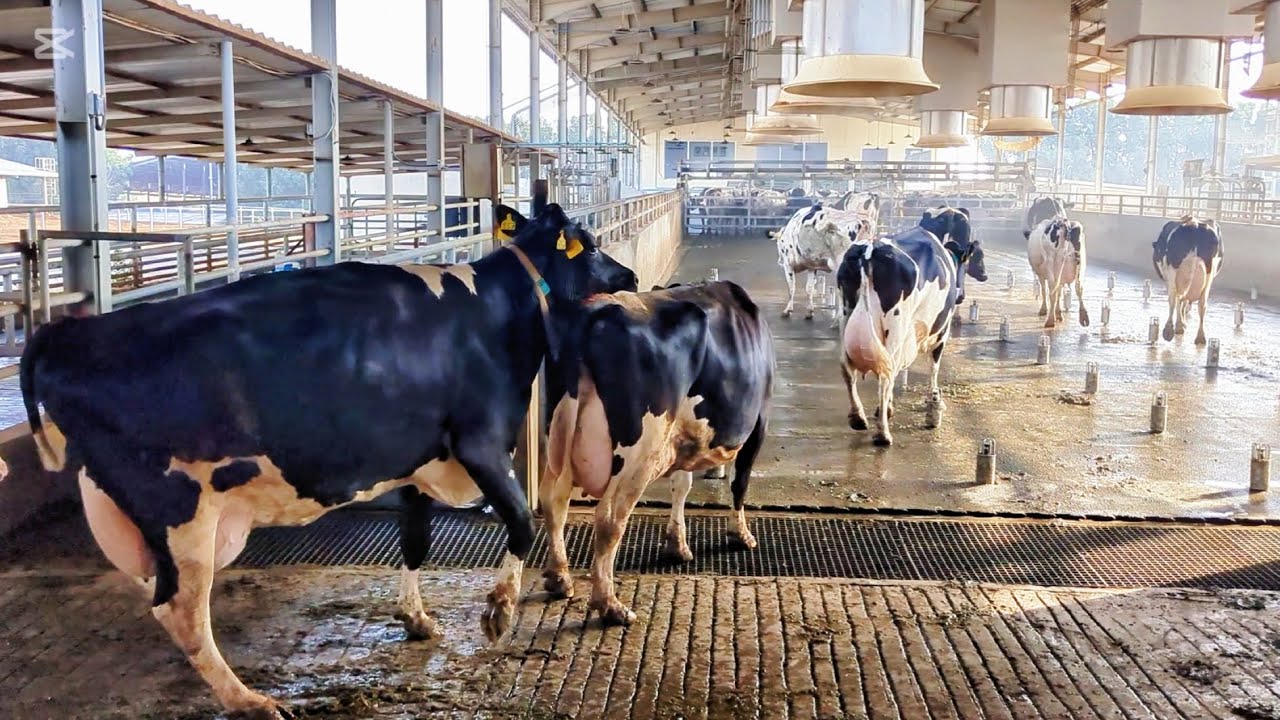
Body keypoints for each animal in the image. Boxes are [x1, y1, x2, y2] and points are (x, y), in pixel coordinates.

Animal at [19, 198, 638, 719]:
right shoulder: (480, 441)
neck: (497, 312)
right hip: (178, 508)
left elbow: (415, 541)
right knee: (182, 612)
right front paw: (499, 610)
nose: (630, 276)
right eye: (589, 244)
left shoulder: (416, 460)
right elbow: (519, 521)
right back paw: (250, 701)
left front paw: (416, 617)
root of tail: (69, 332)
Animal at [536, 281, 774, 625]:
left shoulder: (681, 437)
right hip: (638, 452)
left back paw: (559, 579)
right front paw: (740, 534)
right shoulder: (759, 423)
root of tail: (595, 311)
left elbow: (681, 484)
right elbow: (739, 482)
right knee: (609, 520)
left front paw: (677, 544)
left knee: (553, 501)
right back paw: (610, 605)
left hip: (557, 436)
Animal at [837, 207, 982, 446]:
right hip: (896, 324)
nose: (961, 295)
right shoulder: (942, 331)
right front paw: (933, 406)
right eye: (968, 262)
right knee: (886, 375)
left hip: (846, 313)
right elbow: (934, 367)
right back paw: (883, 434)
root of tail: (870, 251)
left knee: (847, 366)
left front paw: (886, 408)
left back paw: (858, 417)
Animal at [1153, 215, 1224, 344]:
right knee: (1202, 304)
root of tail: (1193, 223)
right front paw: (1182, 324)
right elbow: (1184, 302)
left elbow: (1178, 301)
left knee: (1173, 299)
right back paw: (1200, 337)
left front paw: (1180, 325)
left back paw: (1168, 330)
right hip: (1209, 274)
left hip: (1173, 270)